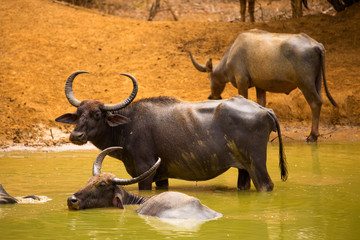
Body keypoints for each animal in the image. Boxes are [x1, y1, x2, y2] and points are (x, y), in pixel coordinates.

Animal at [55, 70, 286, 192]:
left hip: (257, 166)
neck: (128, 126)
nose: (76, 136)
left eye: (97, 114)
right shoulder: (161, 176)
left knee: (267, 185)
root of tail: (263, 109)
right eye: (78, 113)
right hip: (243, 169)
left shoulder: (144, 173)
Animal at [191, 28, 338, 142]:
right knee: (319, 101)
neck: (232, 52)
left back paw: (312, 136)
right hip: (317, 82)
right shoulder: (260, 86)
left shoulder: (242, 81)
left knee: (315, 103)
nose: (211, 96)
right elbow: (261, 104)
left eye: (209, 77)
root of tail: (316, 45)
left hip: (305, 84)